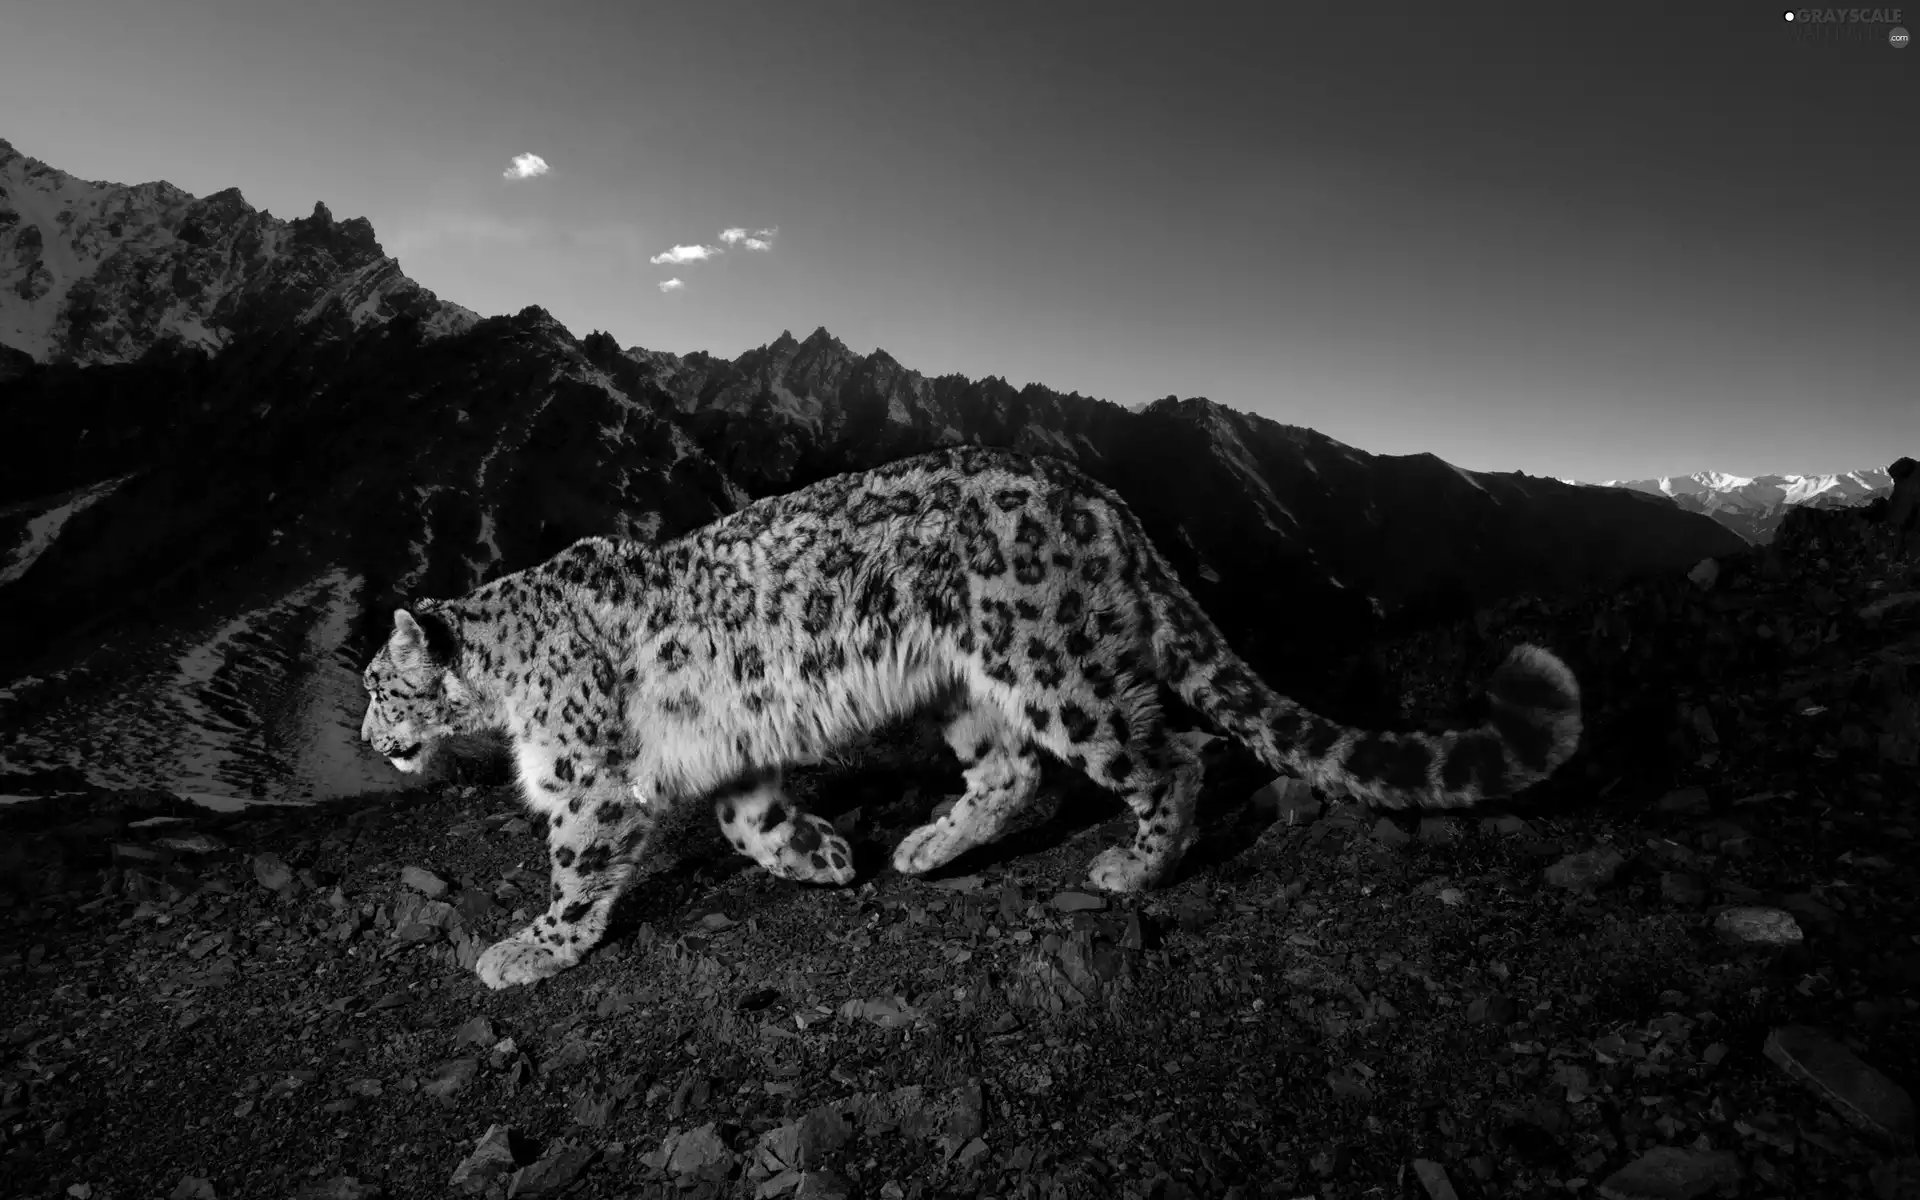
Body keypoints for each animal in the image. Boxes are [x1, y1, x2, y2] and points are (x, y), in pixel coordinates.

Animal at [357, 445, 1574, 990]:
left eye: (375, 685)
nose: (369, 739)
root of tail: (1106, 501)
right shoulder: (733, 754)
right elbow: (750, 821)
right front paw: (824, 856)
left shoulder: (588, 782)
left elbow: (576, 869)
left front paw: (526, 949)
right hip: (965, 691)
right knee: (1013, 774)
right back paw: (923, 848)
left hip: (1055, 668)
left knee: (1169, 754)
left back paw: (1132, 869)